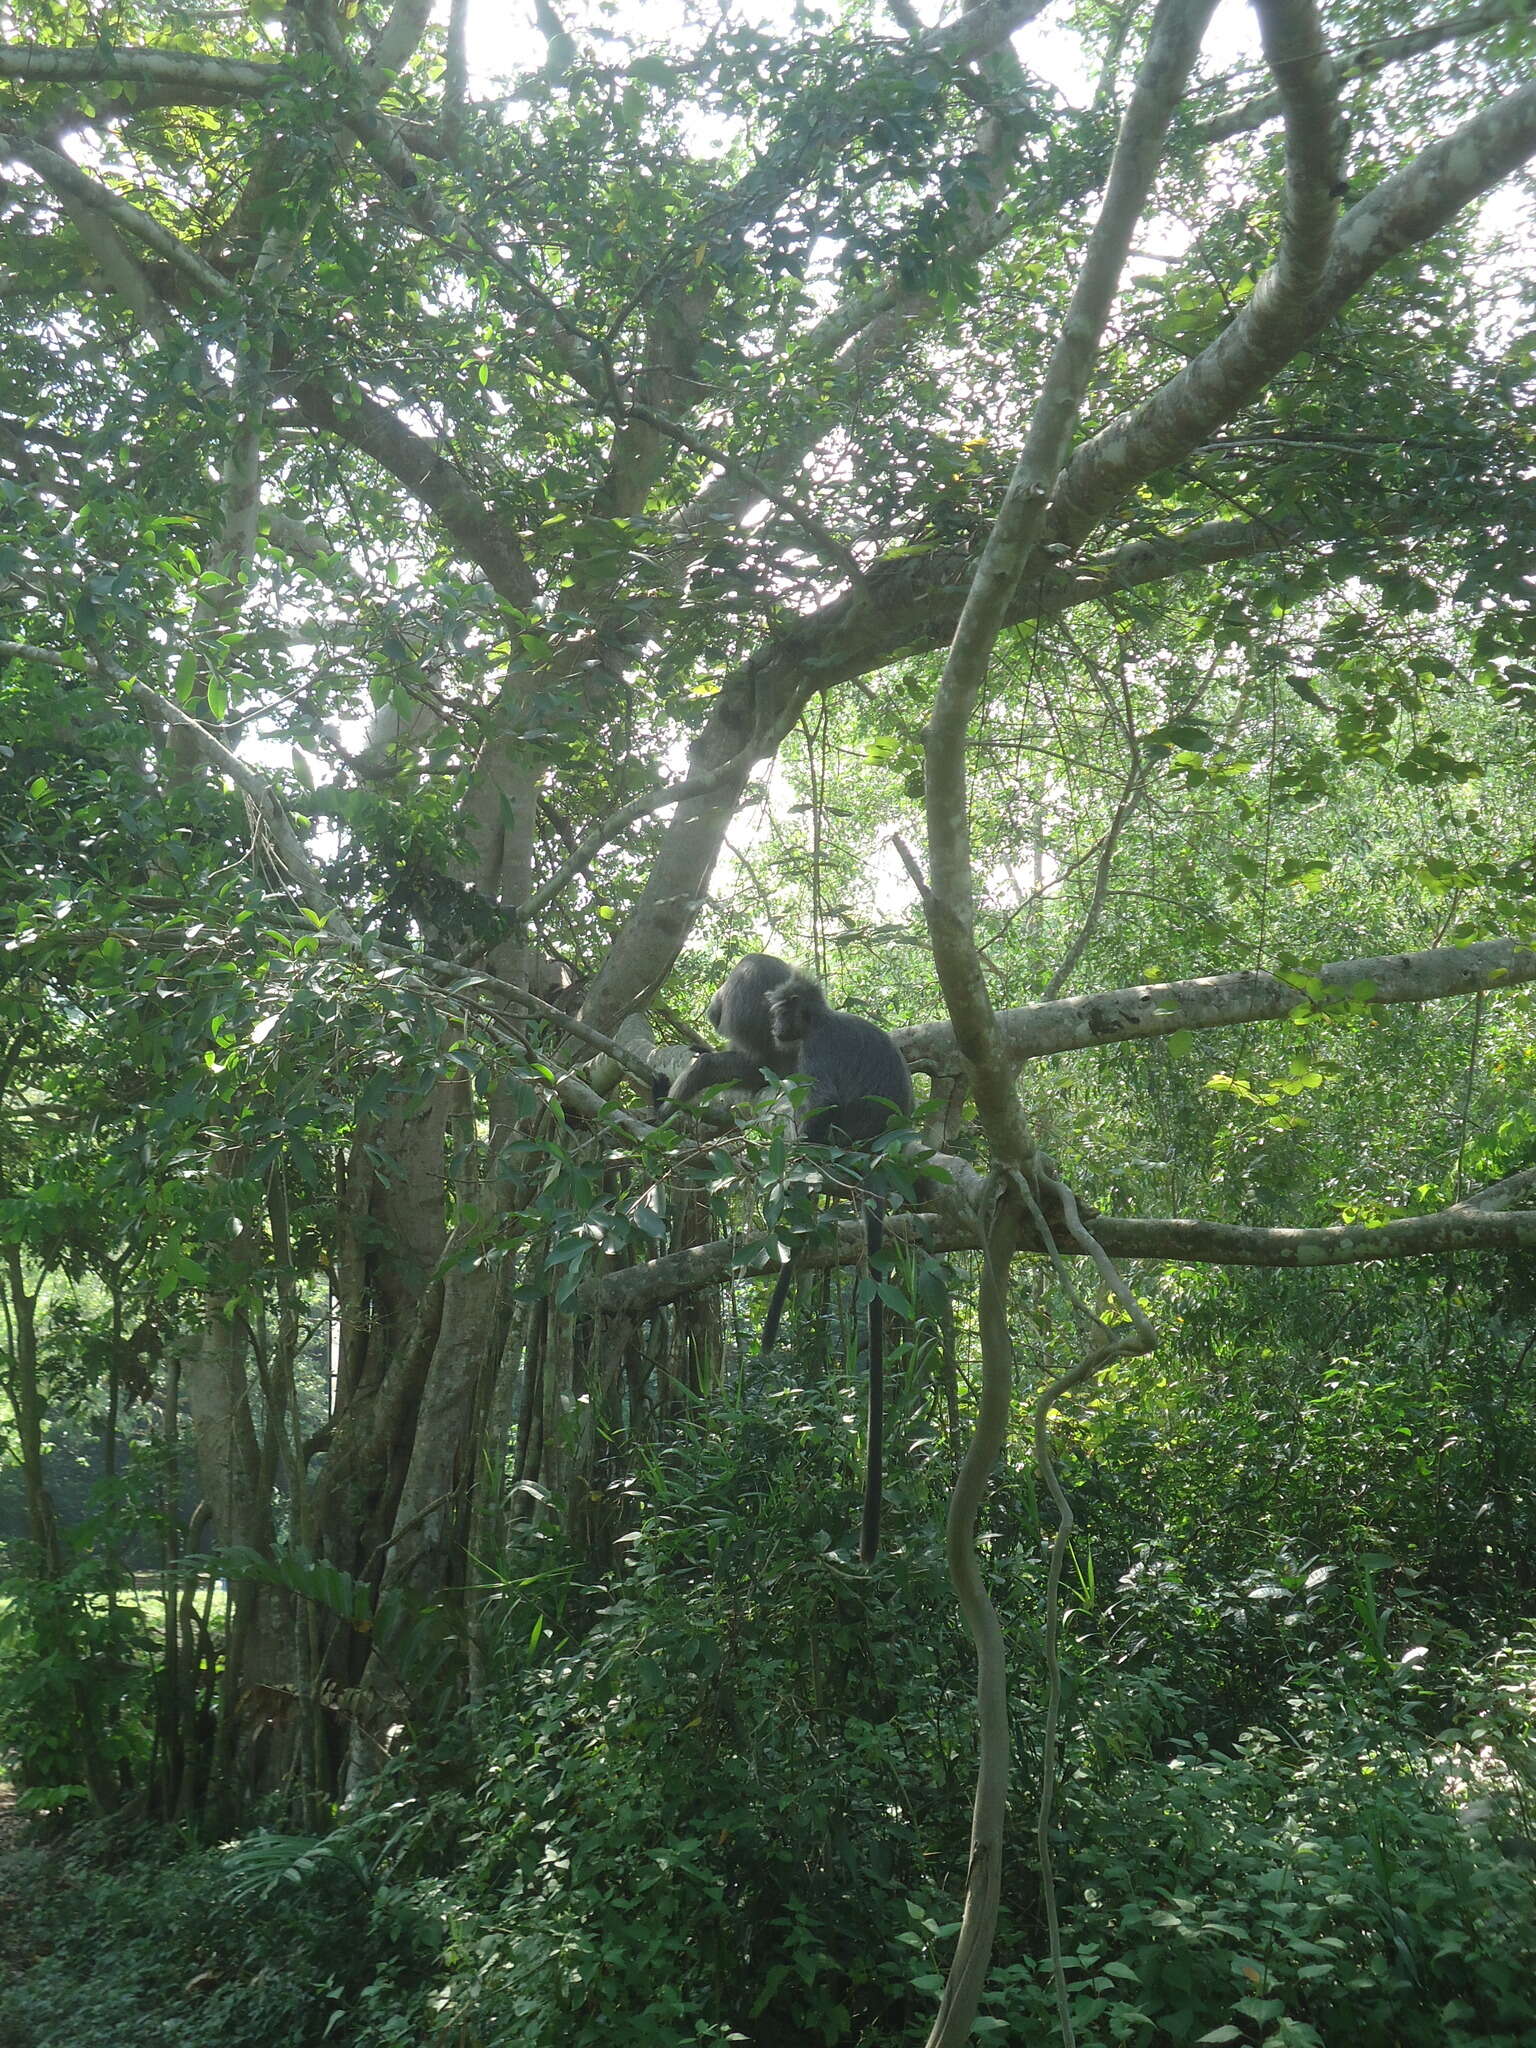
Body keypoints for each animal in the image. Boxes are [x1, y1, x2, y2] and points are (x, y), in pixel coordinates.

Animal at [659, 950, 913, 1556]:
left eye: (781, 1012)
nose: (774, 1025)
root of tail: (879, 1157)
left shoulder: (816, 1047)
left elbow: (817, 1098)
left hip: (841, 1138)